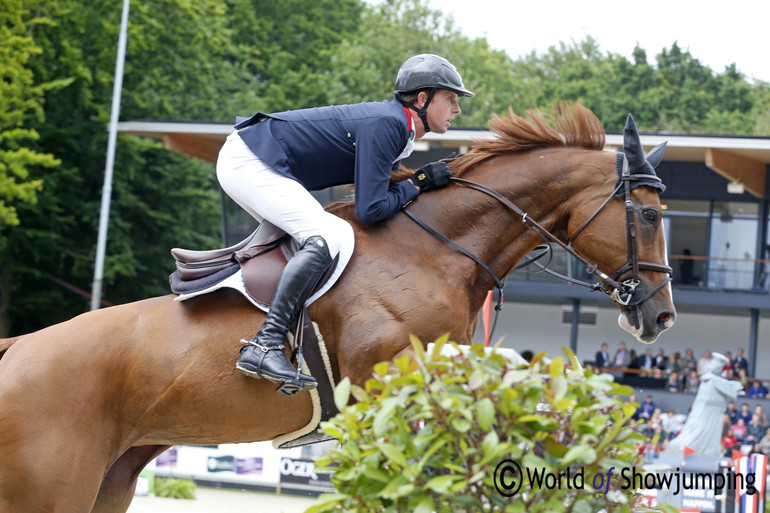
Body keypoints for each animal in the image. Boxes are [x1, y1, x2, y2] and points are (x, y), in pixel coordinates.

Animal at [0, 102, 672, 510]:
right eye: (648, 216)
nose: (659, 317)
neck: (436, 249)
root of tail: (17, 350)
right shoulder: (385, 383)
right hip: (53, 486)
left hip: (112, 477)